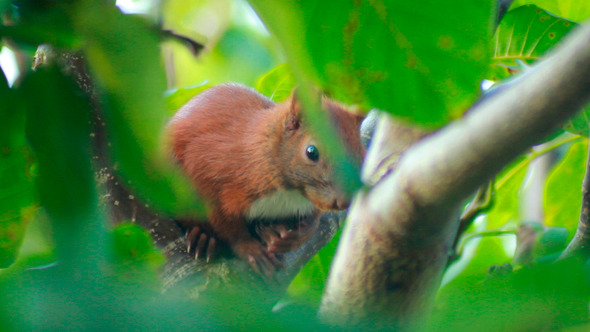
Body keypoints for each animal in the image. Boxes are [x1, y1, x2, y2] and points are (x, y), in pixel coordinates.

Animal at [166, 83, 368, 278]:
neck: (291, 192)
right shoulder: (208, 165)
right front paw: (249, 249)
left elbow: (315, 219)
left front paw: (300, 234)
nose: (344, 202)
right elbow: (226, 223)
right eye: (312, 152)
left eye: (363, 153)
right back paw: (203, 238)